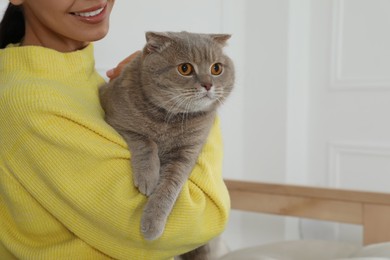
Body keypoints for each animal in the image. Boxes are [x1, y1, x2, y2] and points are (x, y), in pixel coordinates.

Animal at [100, 30, 235, 254]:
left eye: (216, 68)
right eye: (185, 68)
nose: (208, 84)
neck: (169, 119)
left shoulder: (186, 153)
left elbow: (169, 187)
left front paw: (152, 224)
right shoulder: (118, 122)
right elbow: (146, 142)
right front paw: (148, 177)